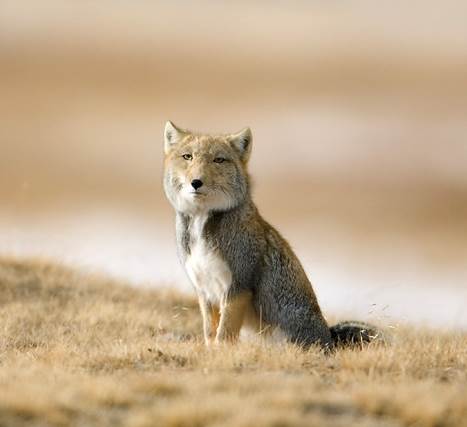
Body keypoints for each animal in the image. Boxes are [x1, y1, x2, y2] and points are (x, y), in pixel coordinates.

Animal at [164, 122, 380, 350]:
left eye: (219, 160)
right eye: (188, 157)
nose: (196, 182)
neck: (202, 223)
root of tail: (329, 339)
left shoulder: (238, 286)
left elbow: (224, 334)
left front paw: (220, 352)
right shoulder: (204, 291)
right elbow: (210, 332)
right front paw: (211, 351)